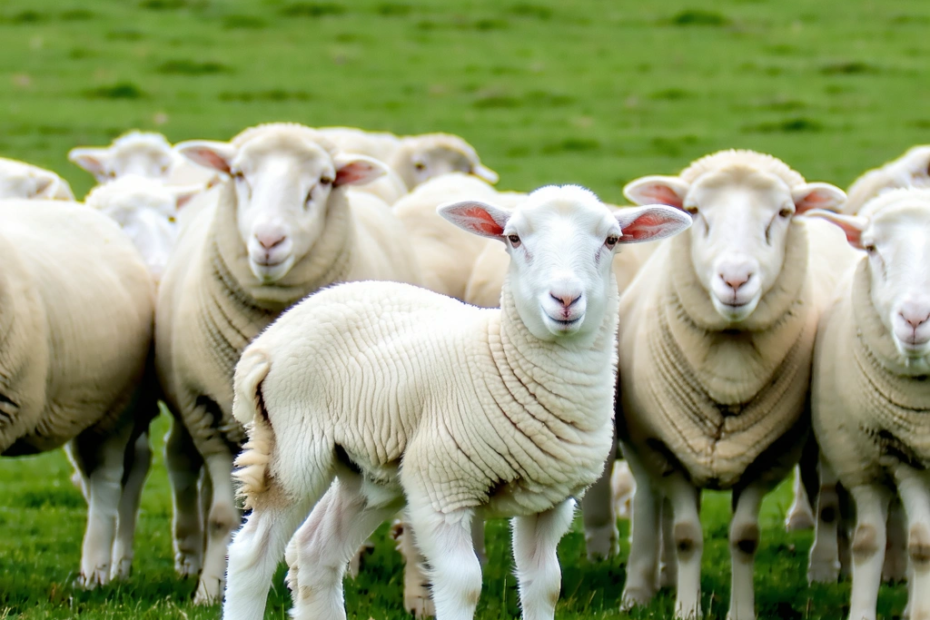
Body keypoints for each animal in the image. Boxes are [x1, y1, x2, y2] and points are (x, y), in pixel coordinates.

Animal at [154, 122, 422, 603]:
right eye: (239, 174)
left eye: (323, 181)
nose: (269, 241)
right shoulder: (207, 414)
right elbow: (221, 516)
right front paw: (208, 589)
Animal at [220, 184, 692, 620]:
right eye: (513, 238)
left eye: (611, 240)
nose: (565, 299)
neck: (502, 359)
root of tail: (273, 336)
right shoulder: (440, 489)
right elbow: (464, 584)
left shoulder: (550, 502)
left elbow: (547, 586)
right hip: (294, 448)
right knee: (251, 553)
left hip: (369, 473)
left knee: (314, 553)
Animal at [615, 150, 855, 619]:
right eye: (693, 210)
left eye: (783, 213)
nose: (736, 279)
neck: (727, 376)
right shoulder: (670, 453)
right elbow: (686, 534)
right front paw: (686, 608)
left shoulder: (770, 458)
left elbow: (744, 537)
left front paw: (741, 610)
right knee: (649, 503)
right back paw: (641, 587)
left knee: (830, 495)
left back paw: (829, 566)